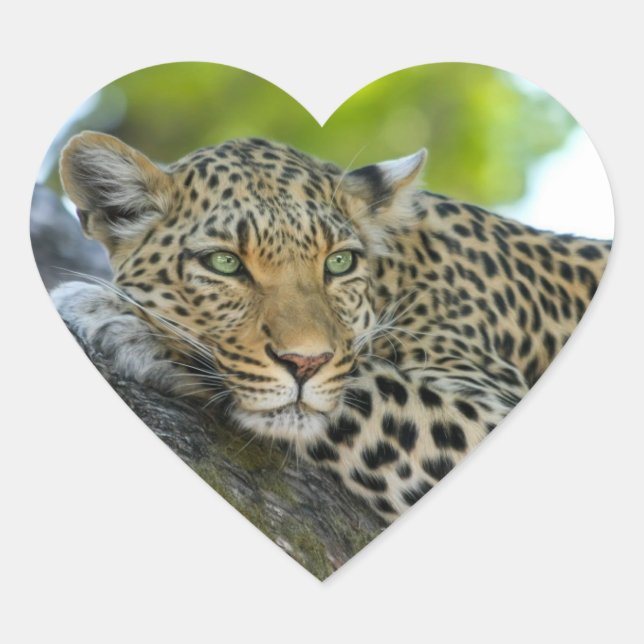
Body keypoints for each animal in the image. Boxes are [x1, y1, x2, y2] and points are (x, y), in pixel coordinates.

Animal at [52, 131, 611, 518]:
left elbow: (363, 386)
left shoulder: (490, 406)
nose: (305, 363)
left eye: (339, 263)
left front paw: (120, 321)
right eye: (224, 264)